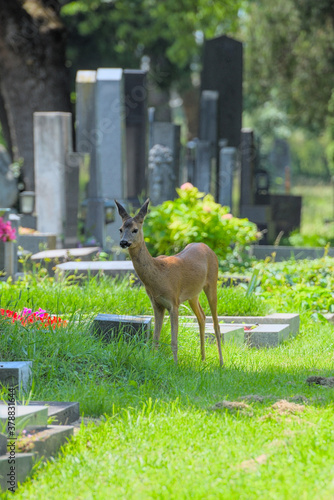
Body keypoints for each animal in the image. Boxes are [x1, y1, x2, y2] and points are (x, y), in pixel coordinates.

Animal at [115, 199, 224, 368]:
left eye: (135, 230)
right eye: (120, 229)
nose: (123, 242)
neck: (159, 276)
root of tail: (207, 247)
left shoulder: (173, 302)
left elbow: (173, 341)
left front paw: (175, 365)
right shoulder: (157, 304)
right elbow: (155, 339)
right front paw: (152, 362)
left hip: (212, 282)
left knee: (216, 324)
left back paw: (221, 363)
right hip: (193, 295)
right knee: (202, 316)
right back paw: (203, 359)